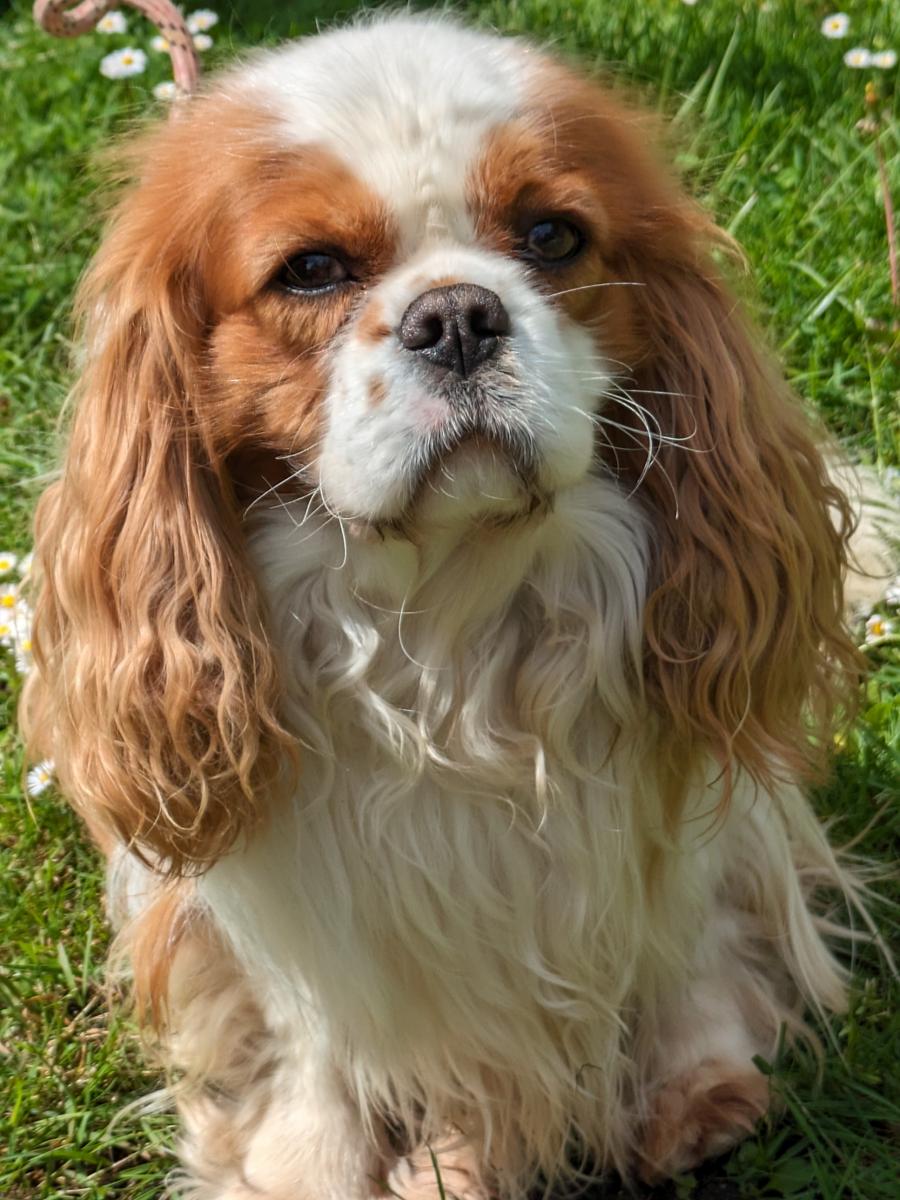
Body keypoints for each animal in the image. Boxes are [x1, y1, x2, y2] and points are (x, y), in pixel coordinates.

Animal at [24, 11, 883, 1200]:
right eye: (311, 271)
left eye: (554, 237)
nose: (458, 315)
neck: (447, 616)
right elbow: (313, 1035)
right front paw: (307, 1164)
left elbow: (682, 935)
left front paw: (691, 1080)